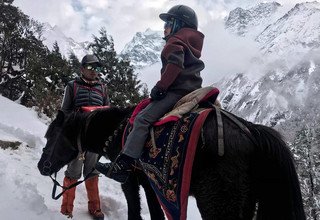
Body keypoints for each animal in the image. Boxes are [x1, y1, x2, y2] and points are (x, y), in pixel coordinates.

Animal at [37, 105, 304, 219]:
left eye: (51, 136)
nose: (42, 167)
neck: (119, 130)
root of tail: (251, 131)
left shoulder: (129, 180)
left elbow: (135, 209)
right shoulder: (150, 184)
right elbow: (155, 213)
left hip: (218, 204)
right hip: (246, 203)